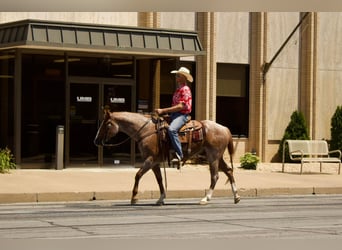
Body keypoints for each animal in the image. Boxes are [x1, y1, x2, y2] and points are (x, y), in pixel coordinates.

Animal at [93, 110, 240, 206]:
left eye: (107, 124)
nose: (96, 141)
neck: (145, 131)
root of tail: (225, 128)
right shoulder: (155, 163)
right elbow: (159, 180)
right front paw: (161, 199)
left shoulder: (150, 160)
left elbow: (138, 175)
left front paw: (134, 197)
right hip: (217, 157)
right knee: (229, 171)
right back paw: (236, 197)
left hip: (213, 156)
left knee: (215, 176)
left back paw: (206, 198)